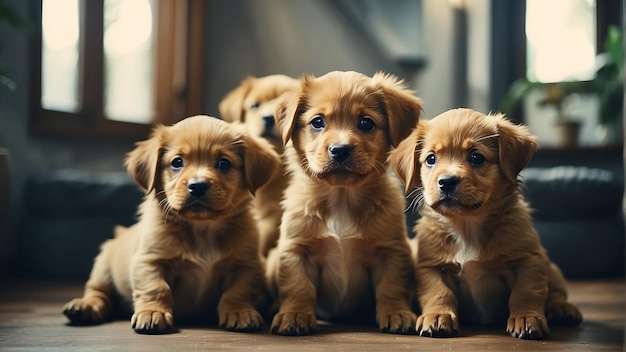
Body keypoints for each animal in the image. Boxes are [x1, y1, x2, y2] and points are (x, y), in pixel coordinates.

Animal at [62, 116, 278, 336]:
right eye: (177, 162)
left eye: (223, 163)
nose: (197, 186)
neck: (203, 228)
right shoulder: (149, 261)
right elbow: (156, 288)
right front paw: (152, 313)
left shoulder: (246, 264)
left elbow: (238, 291)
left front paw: (240, 311)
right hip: (103, 269)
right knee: (98, 292)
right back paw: (85, 306)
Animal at [266, 69, 422, 336]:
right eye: (317, 122)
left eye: (366, 123)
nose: (340, 150)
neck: (341, 199)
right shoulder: (296, 250)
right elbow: (298, 286)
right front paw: (294, 314)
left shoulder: (391, 251)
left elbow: (391, 287)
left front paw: (397, 313)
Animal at [388, 108, 584, 340]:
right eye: (431, 159)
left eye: (476, 157)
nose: (446, 181)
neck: (466, 225)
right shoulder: (430, 267)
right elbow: (438, 293)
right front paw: (437, 315)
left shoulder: (529, 260)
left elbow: (525, 293)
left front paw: (526, 318)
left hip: (551, 268)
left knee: (556, 292)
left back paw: (562, 309)